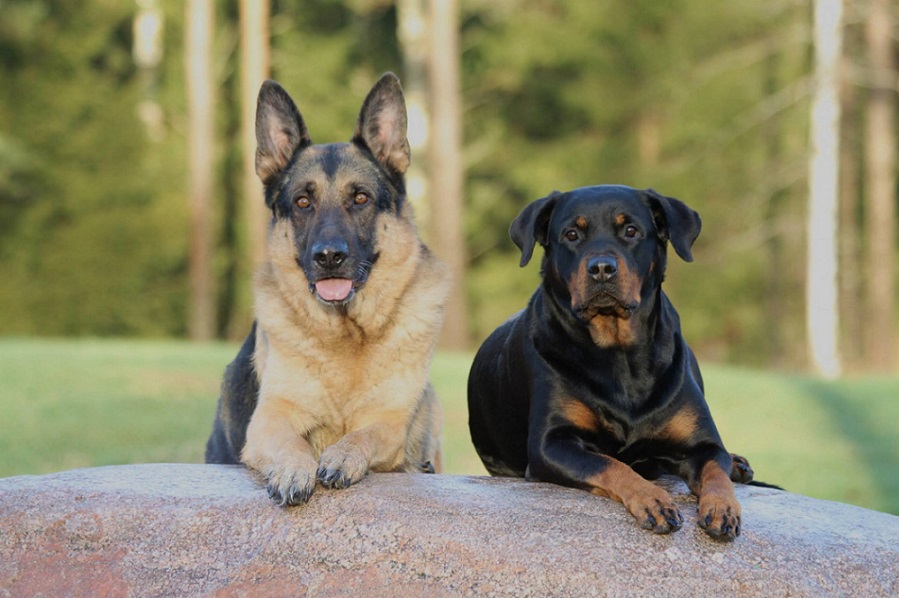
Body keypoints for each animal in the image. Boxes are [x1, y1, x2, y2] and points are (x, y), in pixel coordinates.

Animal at [209, 72, 450, 508]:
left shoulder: (389, 422)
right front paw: (294, 468)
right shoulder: (270, 418)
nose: (329, 257)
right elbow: (292, 443)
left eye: (360, 198)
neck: (348, 339)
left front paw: (342, 455)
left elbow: (363, 434)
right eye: (303, 201)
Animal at [472, 188, 752, 544]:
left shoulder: (703, 445)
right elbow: (611, 464)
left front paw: (722, 508)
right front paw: (652, 499)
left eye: (631, 231)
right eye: (572, 235)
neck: (618, 354)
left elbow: (716, 469)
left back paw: (737, 463)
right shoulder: (550, 445)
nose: (602, 268)